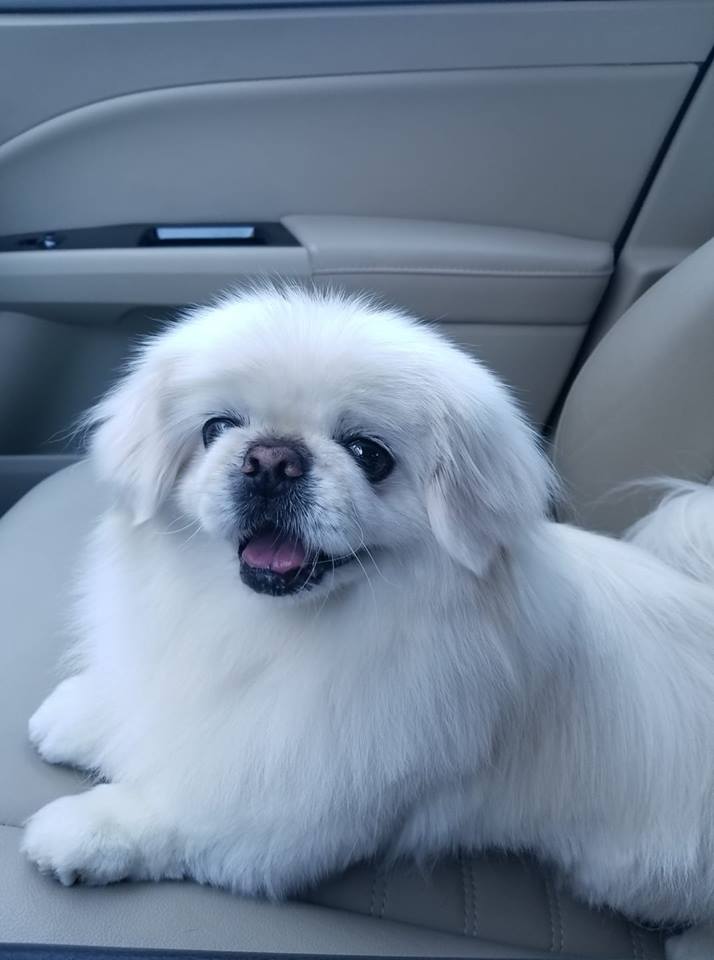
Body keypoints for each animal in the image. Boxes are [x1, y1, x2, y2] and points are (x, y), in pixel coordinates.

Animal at [19, 288, 712, 956]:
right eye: (217, 428)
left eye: (367, 453)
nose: (272, 459)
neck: (266, 624)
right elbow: (149, 709)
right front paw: (85, 715)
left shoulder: (291, 812)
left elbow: (180, 813)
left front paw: (85, 830)